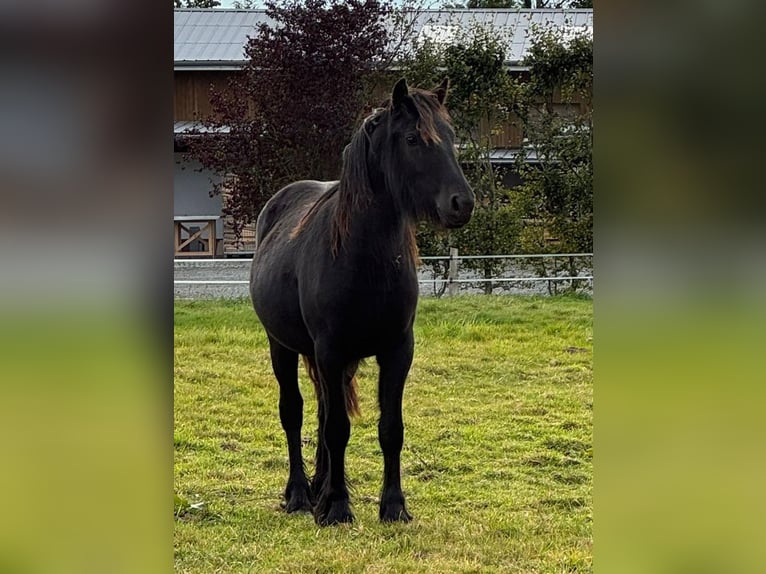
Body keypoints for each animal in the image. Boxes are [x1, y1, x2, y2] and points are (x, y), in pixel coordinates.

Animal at [249, 78, 475, 526]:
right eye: (412, 139)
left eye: (451, 135)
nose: (462, 203)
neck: (364, 258)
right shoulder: (331, 351)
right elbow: (337, 429)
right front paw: (336, 507)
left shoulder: (396, 351)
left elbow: (390, 429)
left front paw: (394, 505)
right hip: (282, 347)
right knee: (294, 412)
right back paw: (300, 494)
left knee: (321, 411)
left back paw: (318, 486)